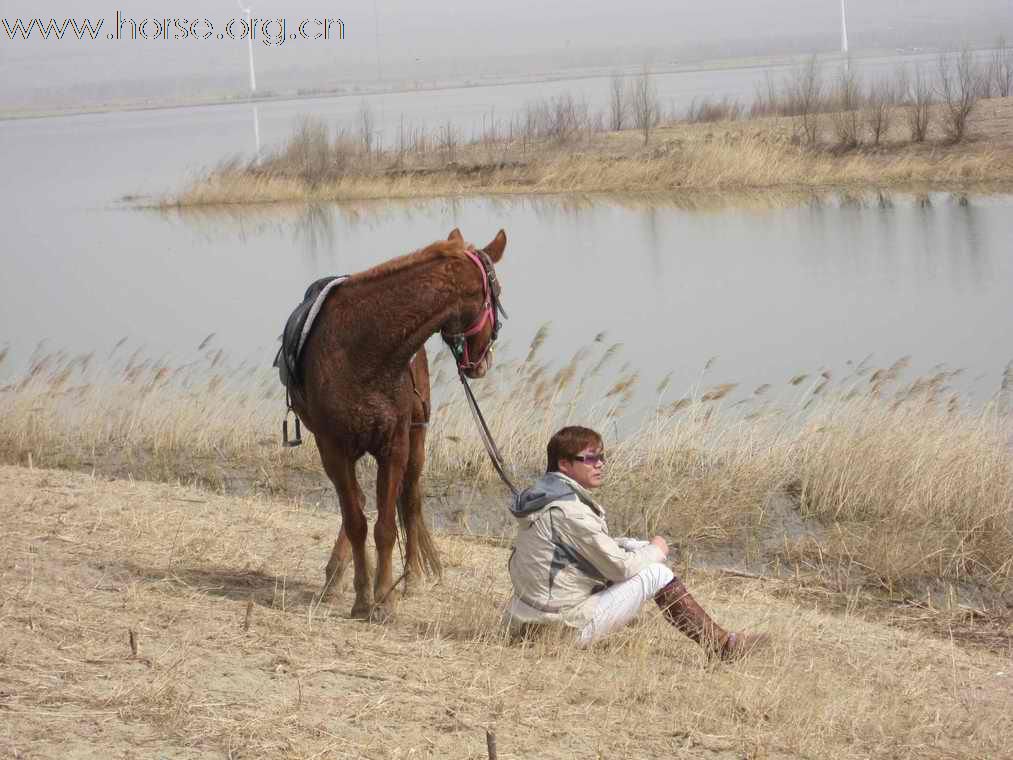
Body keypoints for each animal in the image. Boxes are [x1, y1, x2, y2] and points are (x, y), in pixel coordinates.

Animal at [293, 225, 506, 620]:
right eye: (497, 295)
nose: (483, 363)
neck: (365, 351)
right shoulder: (333, 450)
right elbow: (357, 522)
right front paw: (363, 597)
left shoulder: (395, 447)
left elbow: (387, 527)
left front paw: (384, 599)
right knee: (359, 505)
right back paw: (336, 576)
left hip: (416, 444)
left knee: (409, 501)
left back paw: (409, 579)